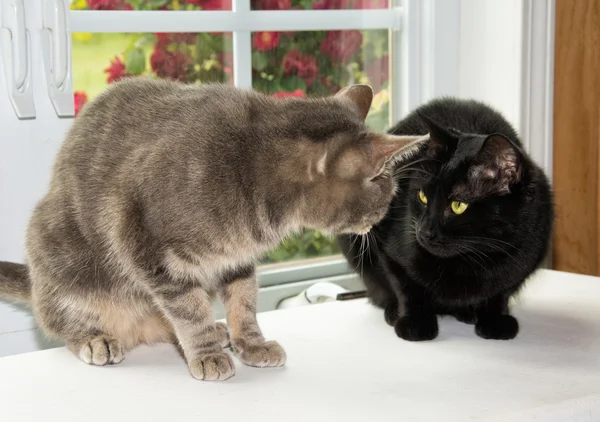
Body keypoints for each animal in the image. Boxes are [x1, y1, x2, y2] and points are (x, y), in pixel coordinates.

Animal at [0, 77, 426, 380]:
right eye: (387, 195)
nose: (379, 222)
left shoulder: (236, 259)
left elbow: (244, 302)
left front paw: (250, 343)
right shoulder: (146, 245)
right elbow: (188, 312)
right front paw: (205, 354)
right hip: (60, 258)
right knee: (60, 319)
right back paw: (96, 338)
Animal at [340, 97, 556, 342]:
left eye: (458, 205)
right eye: (423, 196)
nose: (424, 232)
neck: (472, 259)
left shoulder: (526, 257)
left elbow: (501, 292)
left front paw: (495, 320)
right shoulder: (389, 250)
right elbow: (406, 287)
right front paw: (415, 324)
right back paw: (394, 310)